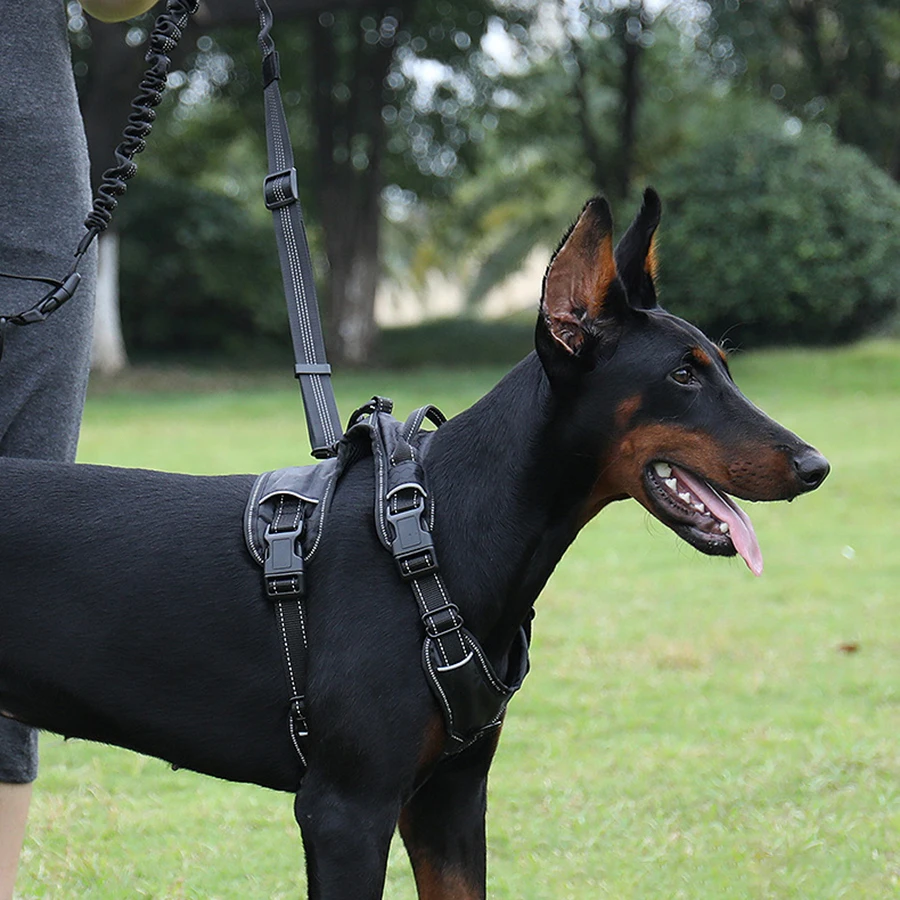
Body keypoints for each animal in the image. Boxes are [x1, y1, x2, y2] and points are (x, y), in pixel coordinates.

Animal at [0, 193, 828, 896]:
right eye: (682, 375)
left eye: (722, 365)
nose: (815, 465)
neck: (440, 534)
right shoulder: (344, 809)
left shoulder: (450, 799)